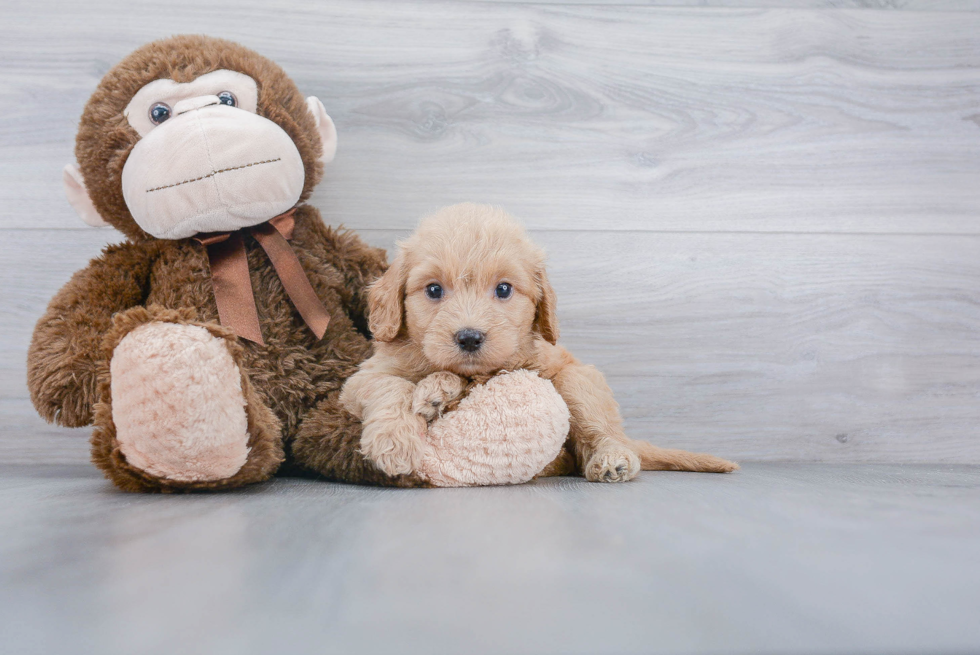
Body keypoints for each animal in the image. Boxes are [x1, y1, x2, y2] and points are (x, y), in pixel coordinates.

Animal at [340, 205, 740, 482]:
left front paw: (438, 391)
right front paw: (396, 439)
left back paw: (612, 458)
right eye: (434, 290)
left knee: (601, 437)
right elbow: (394, 387)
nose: (469, 337)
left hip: (579, 381)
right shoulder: (362, 379)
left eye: (504, 289)